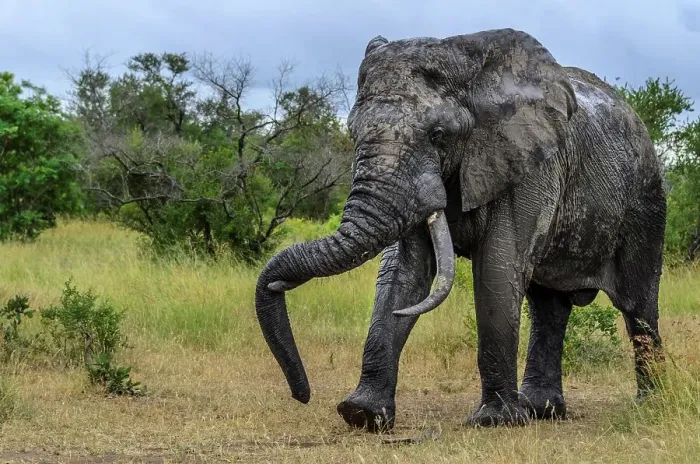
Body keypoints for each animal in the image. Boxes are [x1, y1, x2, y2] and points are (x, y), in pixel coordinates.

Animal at [254, 28, 666, 430]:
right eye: (353, 132)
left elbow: (497, 269)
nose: (302, 395)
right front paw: (362, 414)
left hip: (645, 199)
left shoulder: (528, 164)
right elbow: (404, 274)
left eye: (438, 135)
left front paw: (494, 421)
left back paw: (650, 404)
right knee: (548, 306)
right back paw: (542, 411)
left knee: (638, 305)